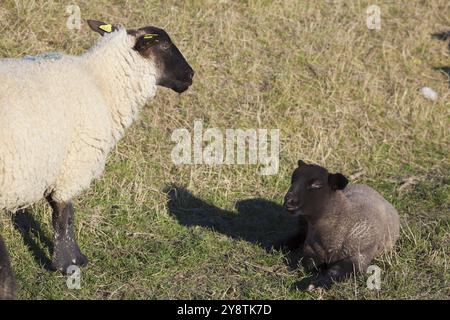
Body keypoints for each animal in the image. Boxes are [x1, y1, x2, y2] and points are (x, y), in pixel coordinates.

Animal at [0, 19, 193, 282]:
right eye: (163, 45)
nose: (191, 75)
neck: (101, 82)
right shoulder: (73, 164)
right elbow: (64, 216)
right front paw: (70, 263)